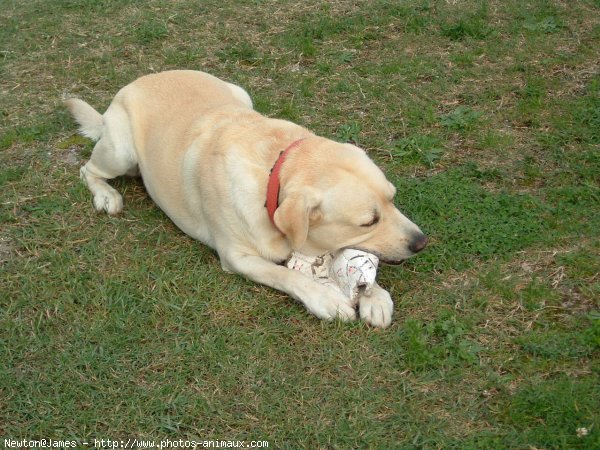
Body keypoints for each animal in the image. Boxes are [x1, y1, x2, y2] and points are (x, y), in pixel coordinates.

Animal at [67, 71, 426, 330]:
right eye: (369, 221)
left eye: (393, 199)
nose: (421, 242)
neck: (273, 172)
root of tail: (140, 80)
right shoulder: (237, 257)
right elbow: (286, 275)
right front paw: (326, 298)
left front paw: (374, 296)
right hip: (120, 152)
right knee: (87, 170)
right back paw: (107, 195)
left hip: (240, 93)